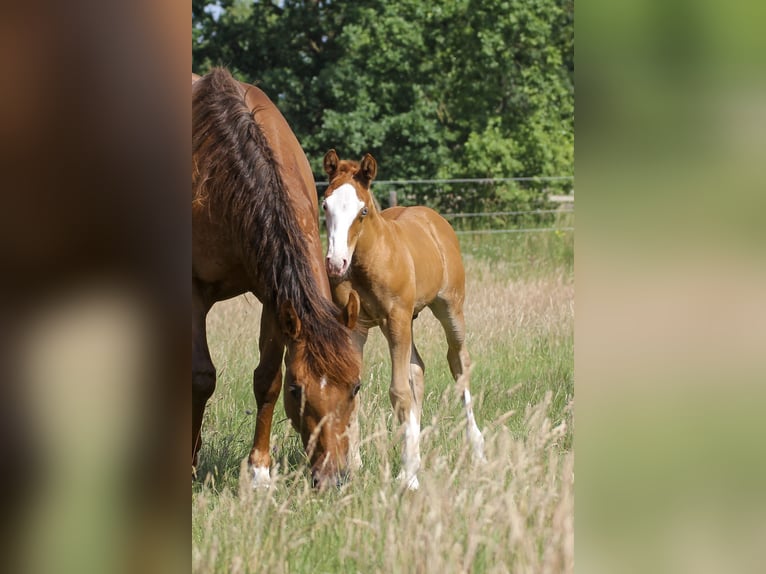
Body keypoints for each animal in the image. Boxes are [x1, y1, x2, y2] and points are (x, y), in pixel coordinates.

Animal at [192, 69, 362, 489]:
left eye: (356, 385)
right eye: (297, 389)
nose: (332, 477)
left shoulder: (274, 298)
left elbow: (266, 379)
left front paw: (260, 472)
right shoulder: (194, 292)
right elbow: (200, 377)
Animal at [321, 150, 485, 490]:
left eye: (363, 210)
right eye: (325, 205)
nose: (335, 262)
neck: (366, 262)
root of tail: (434, 219)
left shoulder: (395, 317)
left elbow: (398, 391)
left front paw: (408, 477)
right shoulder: (355, 326)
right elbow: (356, 385)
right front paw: (354, 467)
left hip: (449, 308)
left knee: (458, 361)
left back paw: (476, 449)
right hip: (405, 320)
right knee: (417, 369)